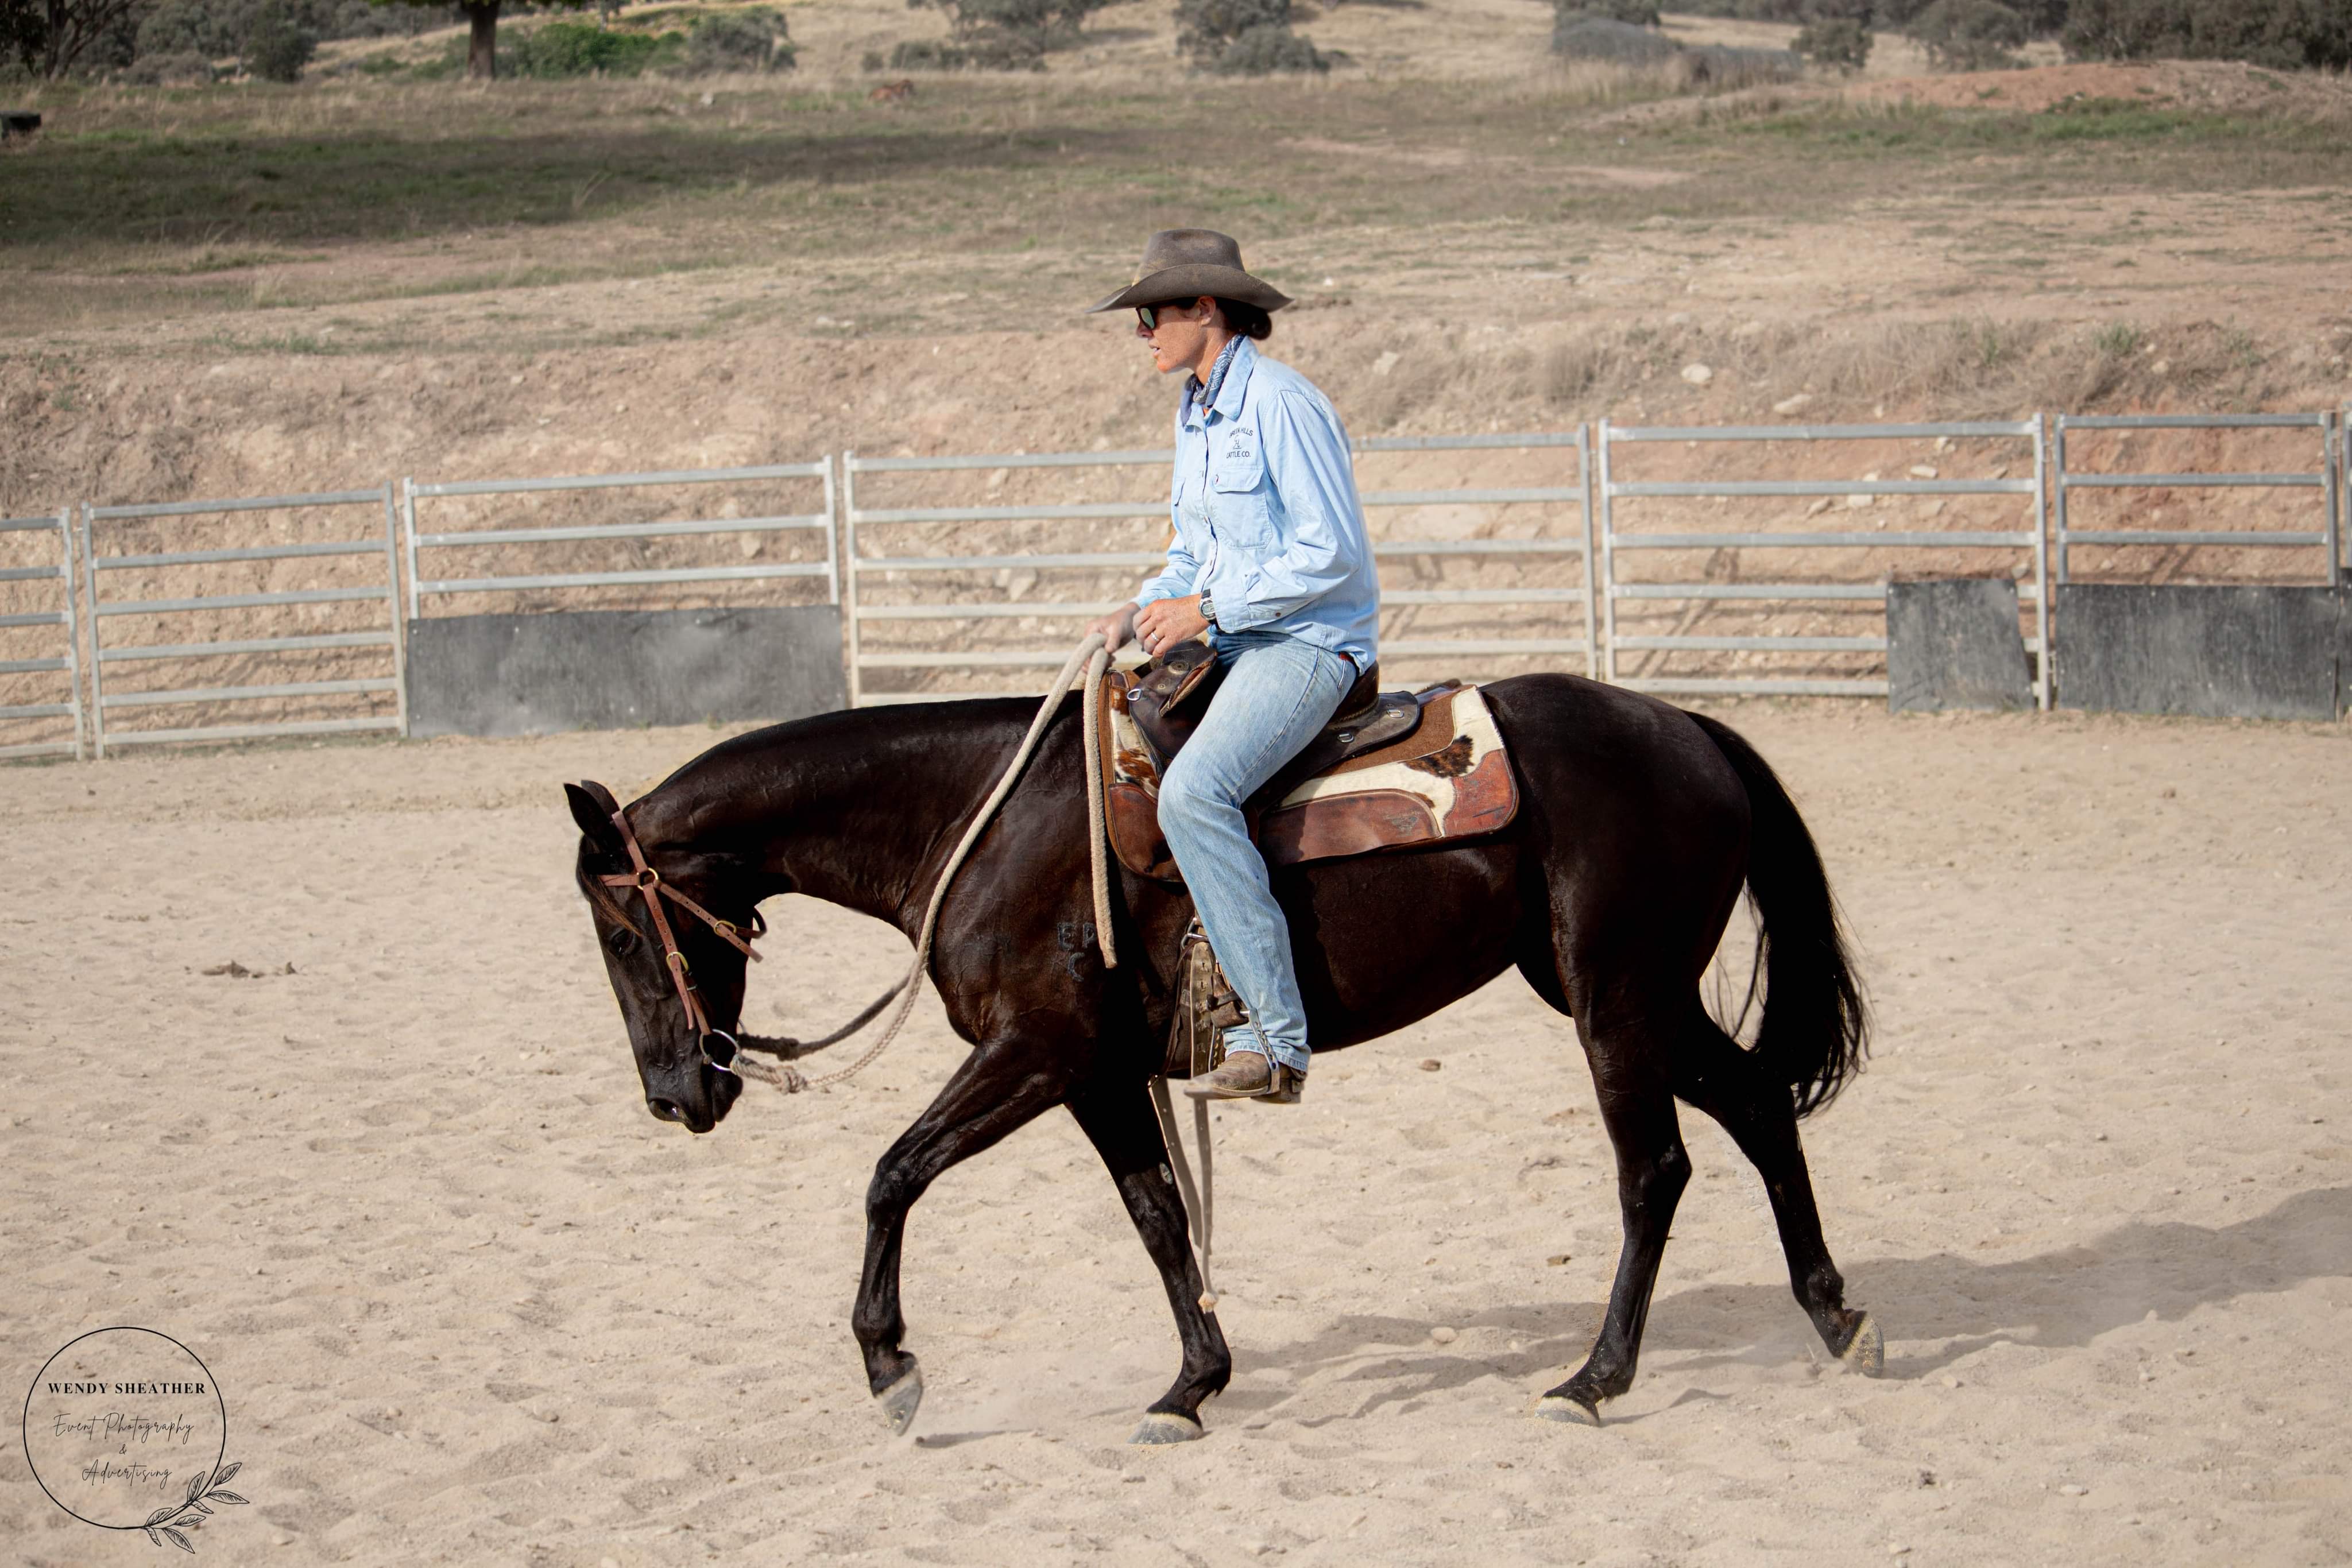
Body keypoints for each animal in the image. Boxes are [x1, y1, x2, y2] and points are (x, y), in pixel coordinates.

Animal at [564, 672, 1878, 1441]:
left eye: (623, 933)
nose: (674, 1097)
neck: (982, 823)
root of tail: (1687, 729)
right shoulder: (1094, 1074)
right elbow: (1155, 1215)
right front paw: (1193, 1385)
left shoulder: (1033, 1051)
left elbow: (893, 1172)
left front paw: (890, 1368)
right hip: (1634, 996)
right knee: (1760, 1108)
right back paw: (1836, 1318)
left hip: (1615, 1000)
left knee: (1654, 1169)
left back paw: (1595, 1378)